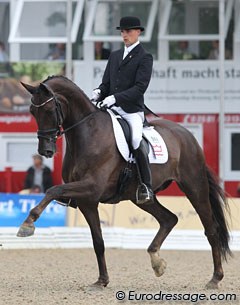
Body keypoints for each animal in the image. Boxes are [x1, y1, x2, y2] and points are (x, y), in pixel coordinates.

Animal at [20, 75, 231, 288]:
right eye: (32, 111)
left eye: (48, 110)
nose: (46, 151)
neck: (87, 134)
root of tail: (188, 136)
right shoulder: (87, 201)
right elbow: (98, 242)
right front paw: (102, 281)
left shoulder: (91, 187)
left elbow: (53, 190)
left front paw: (27, 224)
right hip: (140, 197)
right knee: (169, 219)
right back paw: (157, 262)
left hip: (194, 187)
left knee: (211, 229)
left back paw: (215, 278)